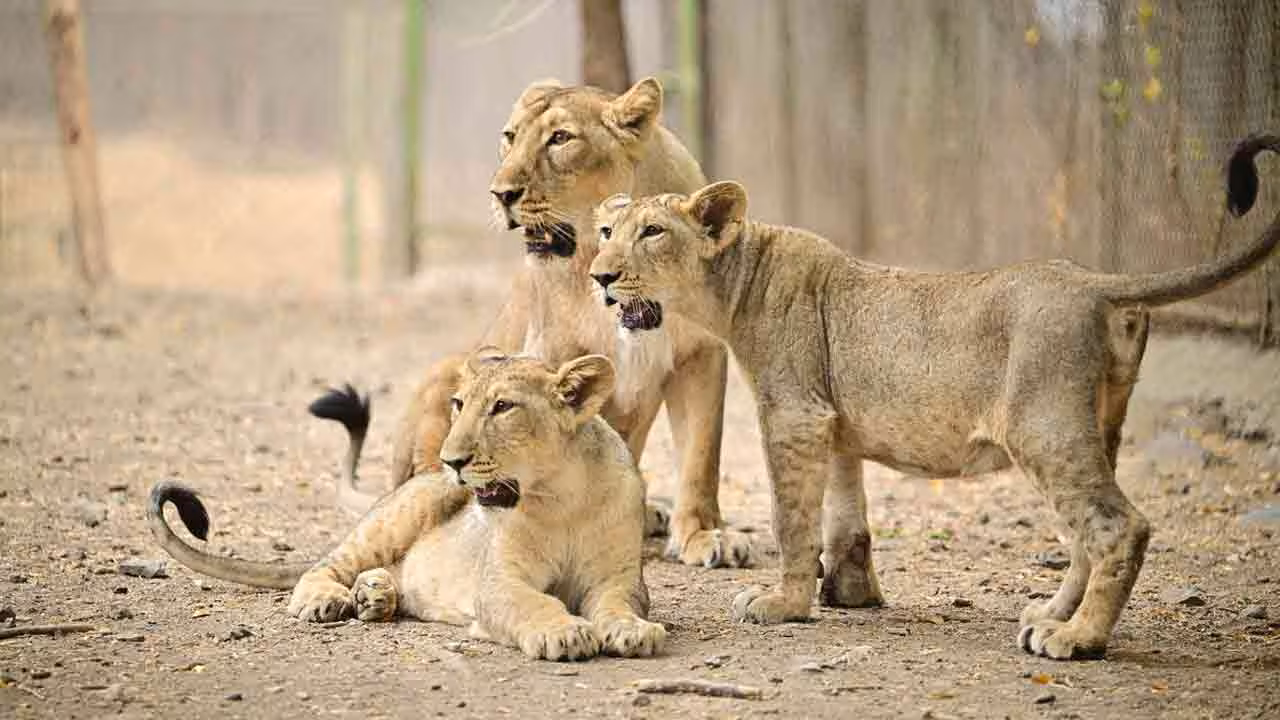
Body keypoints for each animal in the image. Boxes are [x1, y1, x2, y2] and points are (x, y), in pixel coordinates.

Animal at [149, 350, 666, 661]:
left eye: (502, 407)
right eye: (459, 404)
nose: (452, 460)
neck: (561, 497)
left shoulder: (618, 578)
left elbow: (619, 604)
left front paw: (633, 631)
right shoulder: (499, 582)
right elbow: (535, 601)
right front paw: (565, 633)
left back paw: (375, 595)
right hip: (403, 512)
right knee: (320, 567)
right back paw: (331, 600)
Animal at [372, 77, 751, 569]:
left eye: (560, 138)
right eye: (510, 137)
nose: (500, 194)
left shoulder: (700, 355)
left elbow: (701, 455)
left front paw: (704, 534)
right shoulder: (549, 354)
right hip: (445, 373)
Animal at [586, 135, 1280, 660]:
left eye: (651, 232)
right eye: (605, 230)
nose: (599, 276)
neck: (733, 282)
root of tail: (1096, 282)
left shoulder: (794, 414)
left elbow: (792, 518)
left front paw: (782, 603)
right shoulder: (831, 421)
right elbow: (844, 513)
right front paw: (850, 593)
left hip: (1043, 426)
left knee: (1118, 525)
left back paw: (1077, 638)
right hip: (1096, 425)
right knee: (1086, 531)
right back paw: (1050, 615)